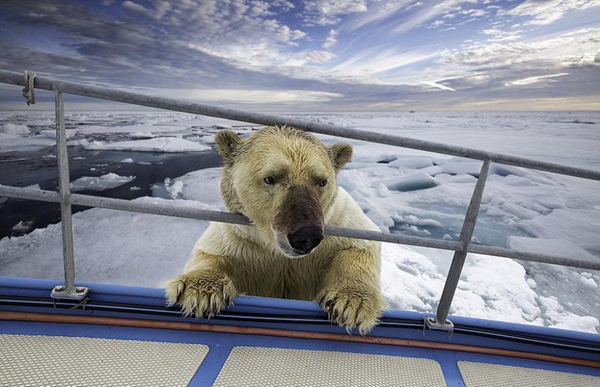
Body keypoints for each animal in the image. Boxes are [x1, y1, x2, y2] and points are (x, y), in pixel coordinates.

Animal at [166, 126, 384, 334]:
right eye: (270, 178)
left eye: (322, 181)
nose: (306, 236)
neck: (277, 250)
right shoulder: (238, 237)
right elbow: (210, 252)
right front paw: (199, 291)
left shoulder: (338, 221)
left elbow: (360, 245)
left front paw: (351, 302)